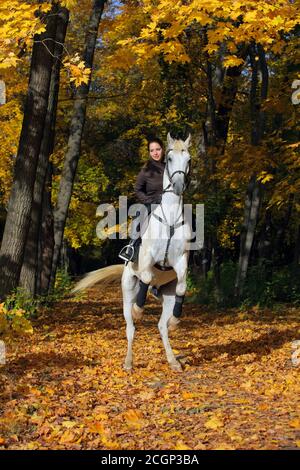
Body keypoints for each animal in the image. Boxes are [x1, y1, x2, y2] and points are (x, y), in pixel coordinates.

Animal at [74, 132, 193, 370]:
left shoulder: (180, 262)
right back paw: (129, 361)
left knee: (162, 326)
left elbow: (183, 287)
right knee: (131, 327)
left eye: (189, 159)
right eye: (169, 158)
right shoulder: (147, 260)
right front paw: (139, 309)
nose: (177, 187)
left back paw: (173, 360)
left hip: (167, 295)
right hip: (127, 289)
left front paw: (176, 320)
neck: (170, 219)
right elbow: (146, 277)